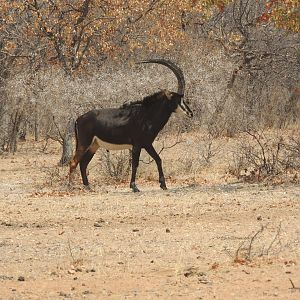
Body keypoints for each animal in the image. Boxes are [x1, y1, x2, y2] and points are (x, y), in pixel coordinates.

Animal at [69, 59, 192, 192]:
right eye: (178, 99)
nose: (190, 113)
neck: (146, 114)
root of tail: (78, 119)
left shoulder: (147, 144)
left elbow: (158, 159)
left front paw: (163, 184)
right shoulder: (137, 145)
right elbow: (135, 164)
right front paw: (134, 186)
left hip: (94, 145)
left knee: (83, 163)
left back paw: (88, 187)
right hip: (84, 143)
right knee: (73, 162)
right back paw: (70, 186)